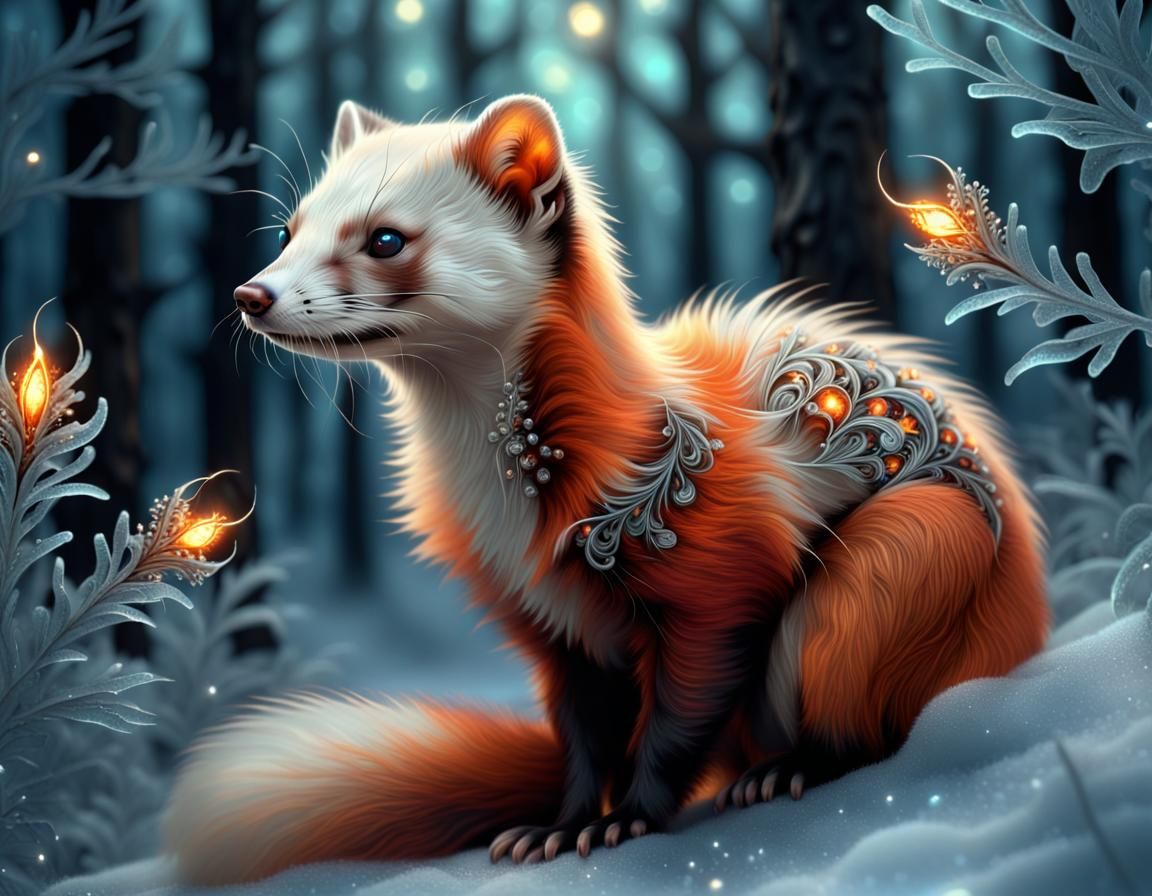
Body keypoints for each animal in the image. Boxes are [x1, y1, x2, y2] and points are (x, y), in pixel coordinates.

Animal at [166, 95, 1048, 885]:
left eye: (385, 238)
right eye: (289, 229)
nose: (250, 295)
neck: (513, 510)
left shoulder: (721, 577)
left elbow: (679, 718)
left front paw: (627, 820)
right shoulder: (545, 621)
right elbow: (585, 739)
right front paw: (558, 828)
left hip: (896, 552)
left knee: (863, 725)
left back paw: (787, 769)